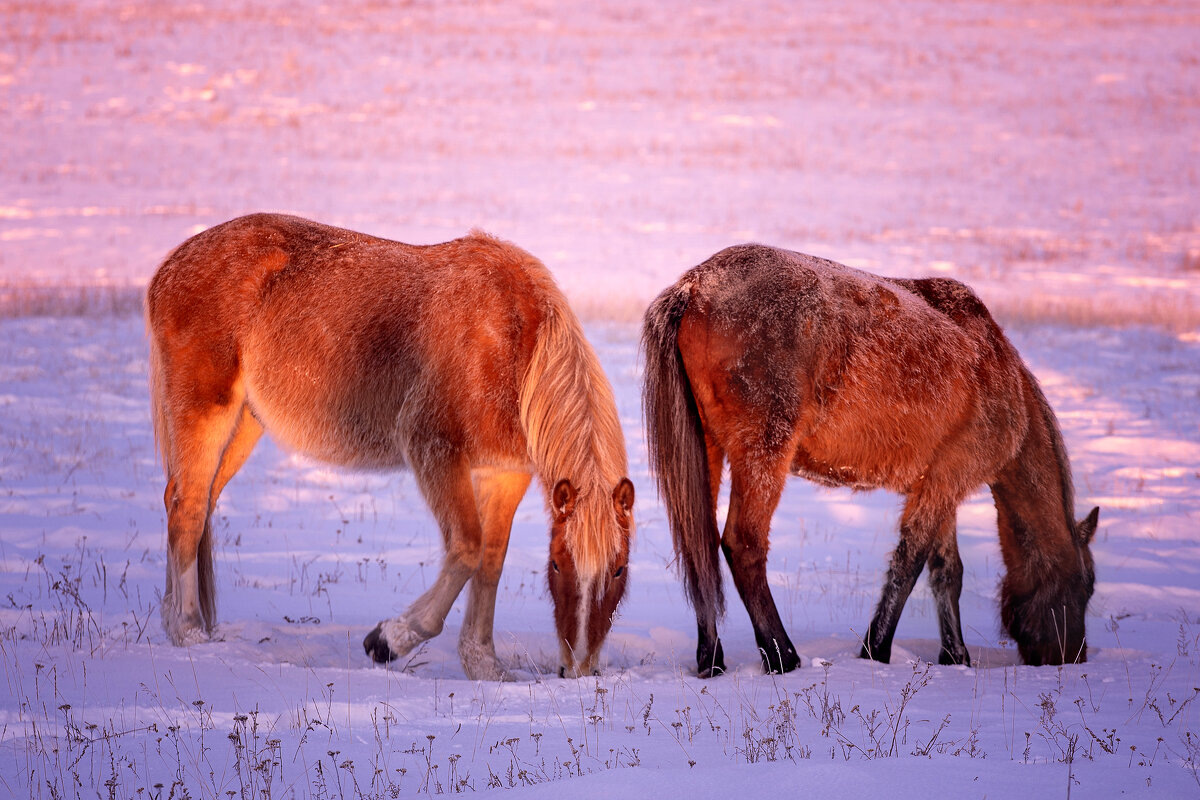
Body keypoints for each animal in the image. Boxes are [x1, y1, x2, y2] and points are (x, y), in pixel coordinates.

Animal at [145, 214, 633, 681]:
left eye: (619, 569)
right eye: (557, 565)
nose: (579, 668)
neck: (511, 342)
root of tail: (169, 268)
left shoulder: (504, 473)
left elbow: (490, 562)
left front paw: (484, 666)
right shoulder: (434, 450)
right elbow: (467, 549)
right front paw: (389, 640)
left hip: (245, 423)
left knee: (188, 501)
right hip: (207, 412)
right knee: (189, 509)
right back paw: (188, 631)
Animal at [648, 244, 1099, 676]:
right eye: (1086, 587)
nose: (1072, 657)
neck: (1001, 375)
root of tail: (695, 286)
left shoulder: (937, 486)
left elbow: (946, 572)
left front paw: (955, 656)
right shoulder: (946, 482)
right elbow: (909, 563)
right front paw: (875, 649)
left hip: (708, 450)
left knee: (700, 548)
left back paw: (711, 660)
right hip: (762, 452)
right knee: (743, 545)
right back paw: (783, 658)